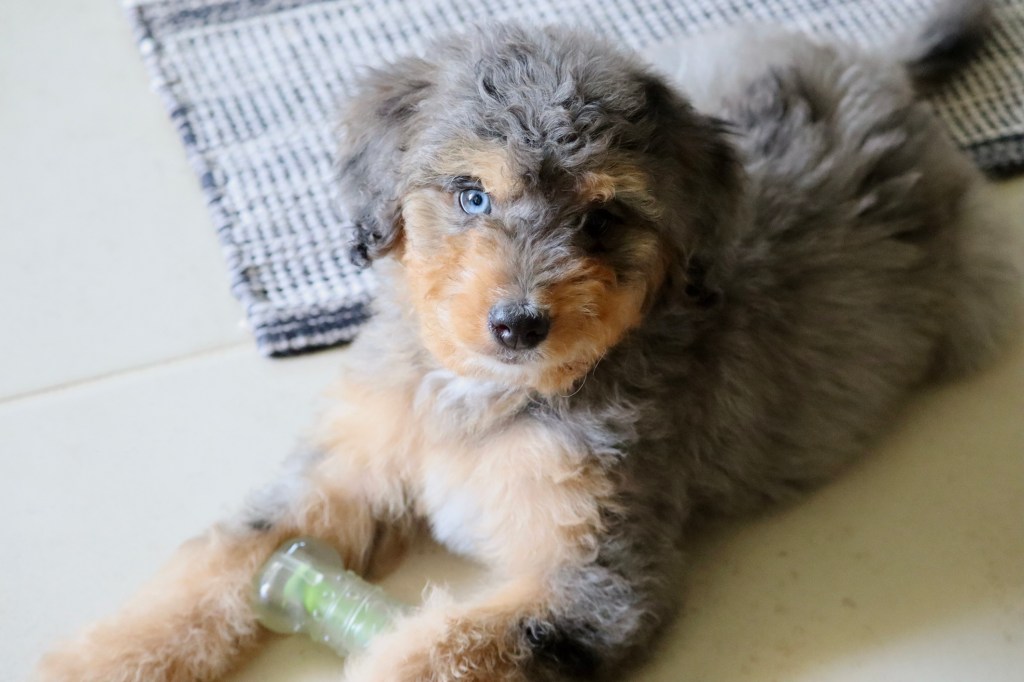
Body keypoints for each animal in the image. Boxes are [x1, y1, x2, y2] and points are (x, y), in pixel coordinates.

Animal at [36, 1, 1019, 679]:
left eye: (603, 218)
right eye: (472, 194)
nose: (518, 322)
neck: (478, 393)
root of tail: (881, 72)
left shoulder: (592, 579)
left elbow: (438, 647)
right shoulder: (339, 469)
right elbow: (212, 568)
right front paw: (93, 662)